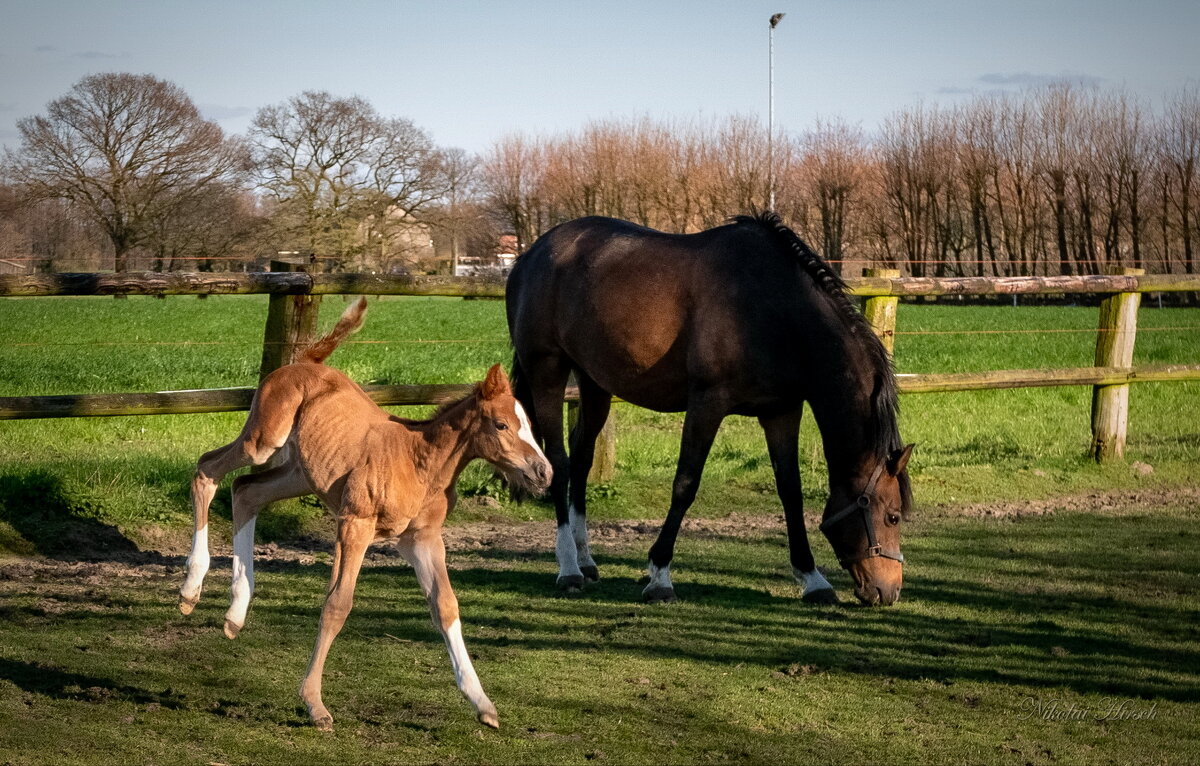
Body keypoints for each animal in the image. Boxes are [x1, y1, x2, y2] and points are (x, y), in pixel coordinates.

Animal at [177, 298, 552, 729]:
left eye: (528, 424)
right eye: (502, 424)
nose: (544, 473)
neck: (420, 461)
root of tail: (304, 361)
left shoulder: (421, 539)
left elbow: (445, 606)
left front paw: (483, 703)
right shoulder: (354, 524)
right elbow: (338, 604)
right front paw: (314, 704)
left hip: (300, 473)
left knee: (246, 492)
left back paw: (235, 613)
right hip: (263, 441)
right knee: (208, 469)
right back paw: (190, 589)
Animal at [504, 213, 907, 609]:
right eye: (893, 516)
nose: (889, 591)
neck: (774, 310)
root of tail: (532, 254)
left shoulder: (781, 411)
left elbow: (790, 491)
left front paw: (813, 579)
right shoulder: (707, 404)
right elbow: (685, 484)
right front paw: (659, 577)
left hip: (594, 382)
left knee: (583, 458)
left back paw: (586, 559)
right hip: (547, 371)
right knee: (559, 461)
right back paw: (569, 568)